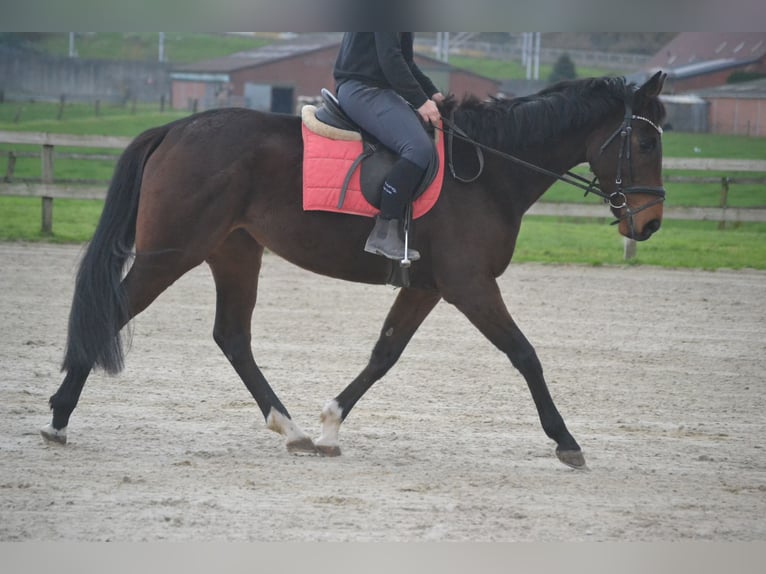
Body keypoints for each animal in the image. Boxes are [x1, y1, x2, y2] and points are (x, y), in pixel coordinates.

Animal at [40, 72, 664, 470]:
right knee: (114, 313)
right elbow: (525, 354)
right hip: (171, 253)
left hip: (234, 252)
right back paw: (59, 418)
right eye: (641, 141)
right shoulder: (469, 285)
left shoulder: (429, 287)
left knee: (232, 336)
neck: (487, 171)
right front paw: (565, 440)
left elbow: (384, 354)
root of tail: (177, 127)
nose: (651, 222)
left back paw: (291, 429)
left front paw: (330, 423)